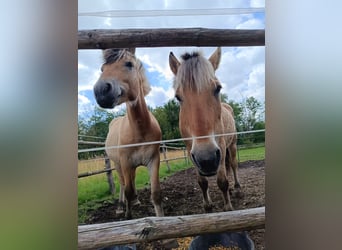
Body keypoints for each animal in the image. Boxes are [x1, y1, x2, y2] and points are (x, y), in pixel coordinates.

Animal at [93, 47, 164, 219]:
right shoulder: (125, 162)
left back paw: (136, 201)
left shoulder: (153, 160)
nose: (101, 91)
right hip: (118, 164)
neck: (139, 131)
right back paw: (120, 206)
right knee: (122, 183)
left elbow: (156, 194)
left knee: (131, 180)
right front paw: (128, 216)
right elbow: (128, 190)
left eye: (129, 64)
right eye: (102, 69)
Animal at [170, 46, 242, 211]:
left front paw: (228, 207)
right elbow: (202, 182)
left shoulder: (220, 147)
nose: (207, 159)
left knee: (233, 165)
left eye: (218, 88)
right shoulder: (191, 151)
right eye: (178, 97)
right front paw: (207, 205)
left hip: (232, 145)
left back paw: (237, 187)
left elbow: (222, 181)